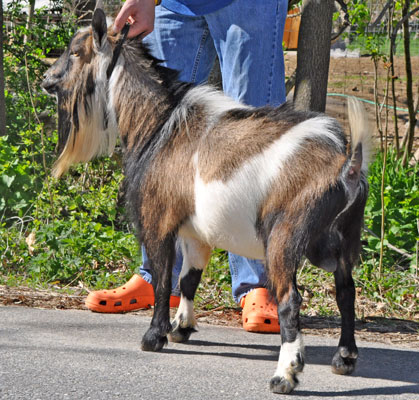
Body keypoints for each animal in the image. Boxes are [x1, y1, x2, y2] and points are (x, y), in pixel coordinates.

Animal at [41, 8, 372, 394]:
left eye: (75, 52)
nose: (47, 79)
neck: (159, 123)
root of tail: (346, 167)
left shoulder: (158, 220)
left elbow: (163, 279)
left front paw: (154, 336)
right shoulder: (196, 232)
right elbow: (188, 279)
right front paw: (181, 328)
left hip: (284, 238)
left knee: (290, 301)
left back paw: (284, 376)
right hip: (344, 240)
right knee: (346, 292)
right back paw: (344, 358)